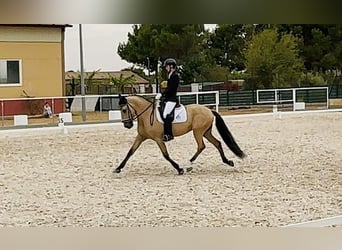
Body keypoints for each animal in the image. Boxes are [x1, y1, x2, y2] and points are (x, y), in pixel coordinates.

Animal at [115, 94, 246, 175]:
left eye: (124, 110)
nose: (127, 125)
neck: (146, 115)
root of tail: (209, 110)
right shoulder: (141, 137)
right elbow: (130, 152)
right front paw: (118, 168)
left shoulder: (158, 139)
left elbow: (166, 155)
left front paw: (179, 169)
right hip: (206, 132)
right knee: (217, 143)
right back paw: (228, 161)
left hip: (198, 132)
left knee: (201, 146)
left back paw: (189, 164)